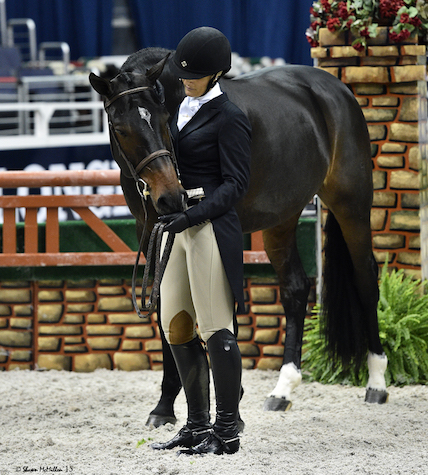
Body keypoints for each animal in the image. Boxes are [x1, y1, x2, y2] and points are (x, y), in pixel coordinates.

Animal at [89, 47, 388, 428]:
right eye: (119, 127)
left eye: (163, 119)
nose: (170, 198)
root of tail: (335, 89)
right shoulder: (153, 231)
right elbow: (166, 309)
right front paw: (165, 406)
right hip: (282, 217)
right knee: (295, 288)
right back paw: (283, 390)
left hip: (351, 204)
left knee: (366, 278)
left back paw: (376, 382)